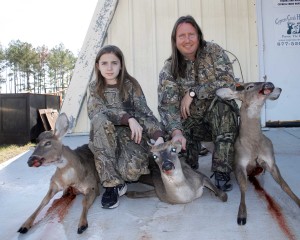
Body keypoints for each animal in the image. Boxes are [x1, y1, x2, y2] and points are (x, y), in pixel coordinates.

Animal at [217, 82, 298, 225]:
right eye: (249, 87)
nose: (269, 84)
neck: (254, 144)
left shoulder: (271, 160)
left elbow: (285, 185)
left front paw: (298, 202)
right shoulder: (239, 162)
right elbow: (243, 187)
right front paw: (242, 215)